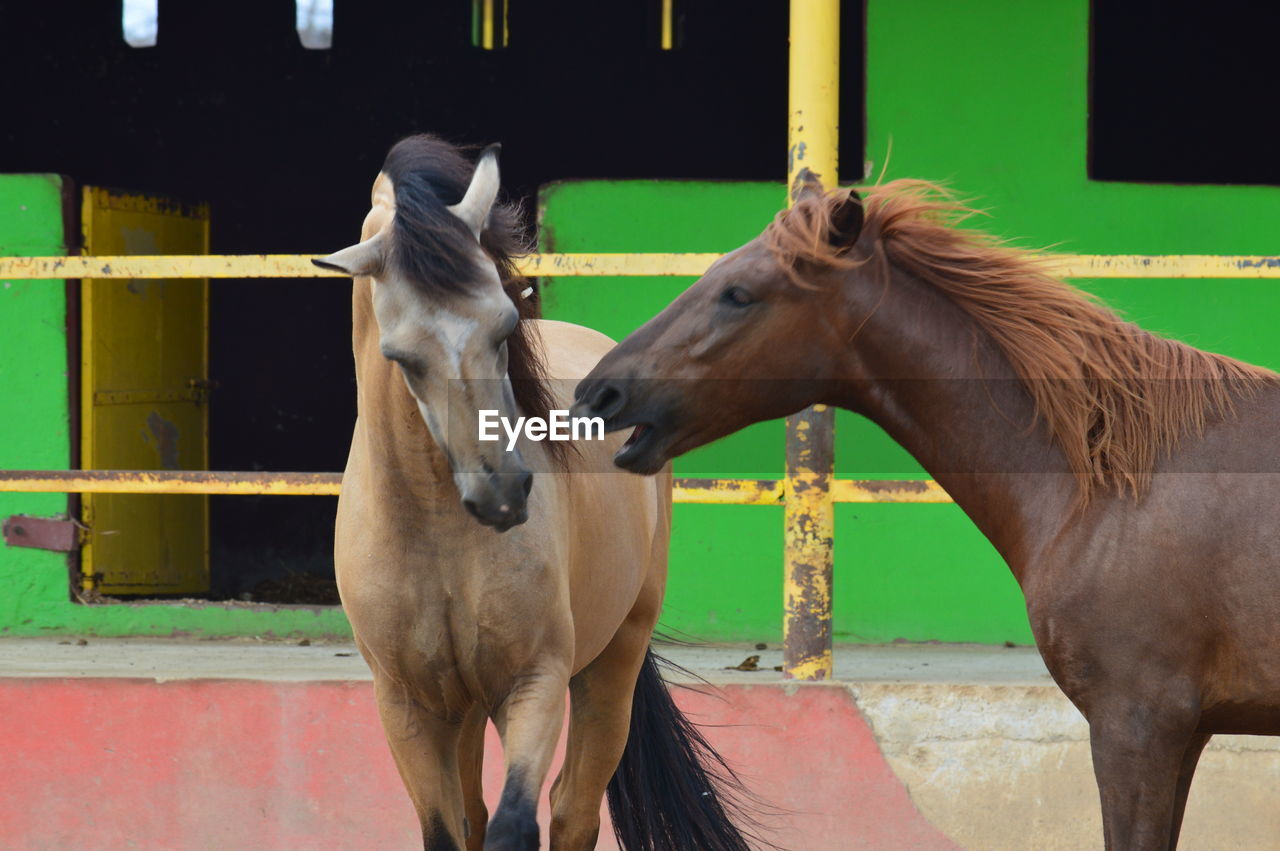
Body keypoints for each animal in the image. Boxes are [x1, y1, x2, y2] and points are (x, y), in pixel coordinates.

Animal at [316, 134, 757, 849]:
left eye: (503, 325)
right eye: (401, 356)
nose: (502, 492)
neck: (433, 529)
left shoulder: (535, 683)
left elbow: (517, 822)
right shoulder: (408, 705)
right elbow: (450, 831)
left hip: (612, 662)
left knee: (573, 808)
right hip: (464, 710)